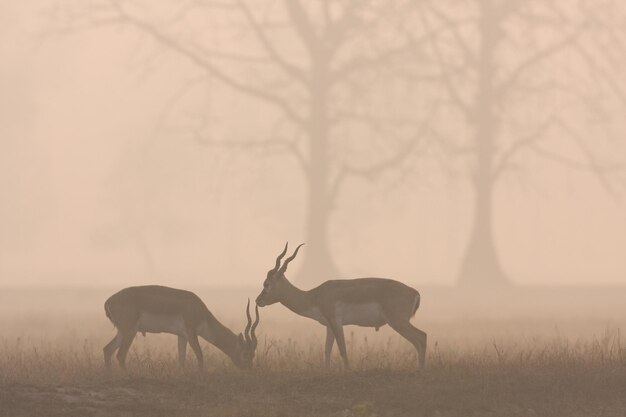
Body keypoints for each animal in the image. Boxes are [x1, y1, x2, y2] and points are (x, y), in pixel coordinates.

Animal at [103, 284, 258, 368]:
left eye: (253, 354)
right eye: (245, 353)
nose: (248, 368)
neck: (199, 311)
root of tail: (108, 301)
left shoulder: (181, 336)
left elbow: (181, 359)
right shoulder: (191, 332)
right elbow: (200, 356)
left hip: (123, 332)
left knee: (107, 350)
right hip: (130, 331)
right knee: (120, 355)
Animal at [254, 244, 424, 368]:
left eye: (266, 284)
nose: (258, 300)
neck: (315, 296)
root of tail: (414, 292)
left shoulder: (336, 322)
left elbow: (342, 349)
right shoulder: (329, 326)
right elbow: (327, 350)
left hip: (398, 322)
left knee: (421, 337)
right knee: (421, 339)